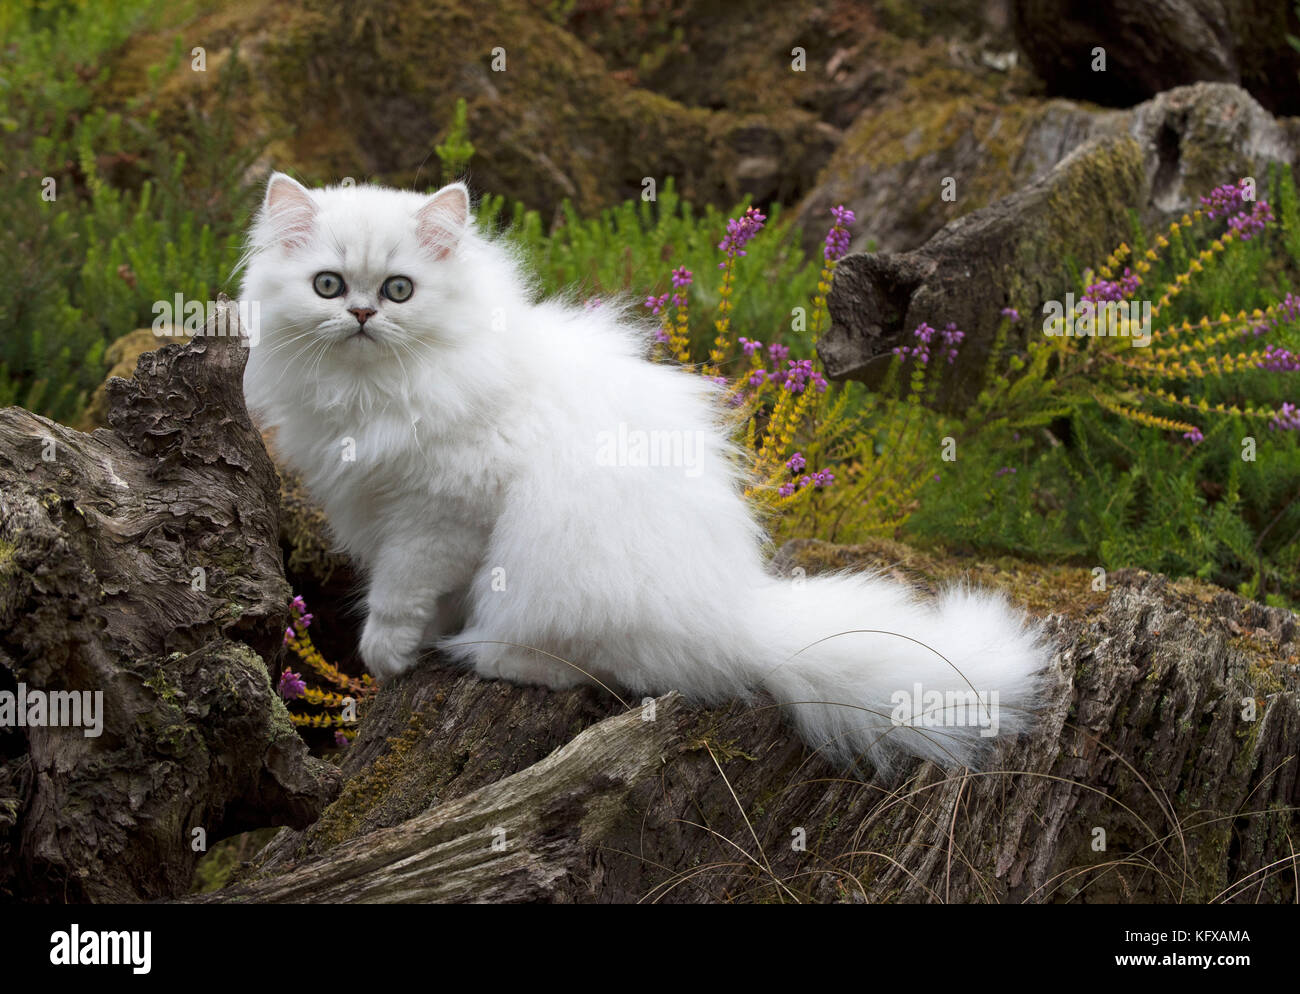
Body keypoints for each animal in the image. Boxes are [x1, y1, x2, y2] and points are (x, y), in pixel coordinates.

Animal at [244, 174, 1050, 769]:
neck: (371, 394)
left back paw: (495, 657)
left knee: (602, 668)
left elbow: (400, 592)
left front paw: (388, 652)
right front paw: (414, 649)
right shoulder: (385, 506)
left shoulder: (438, 513)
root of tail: (739, 615)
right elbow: (428, 598)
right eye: (327, 286)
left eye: (399, 290)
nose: (360, 316)